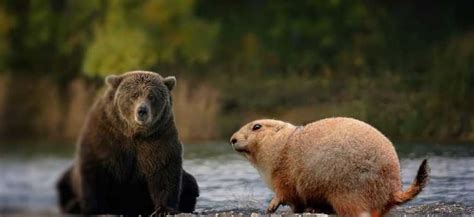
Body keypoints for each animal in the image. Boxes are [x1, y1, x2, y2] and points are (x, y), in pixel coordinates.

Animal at [56, 70, 199, 214]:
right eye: (134, 95)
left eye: (152, 96)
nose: (142, 111)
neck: (133, 133)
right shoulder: (105, 134)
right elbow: (94, 169)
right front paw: (96, 208)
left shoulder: (159, 136)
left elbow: (164, 170)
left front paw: (164, 209)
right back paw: (73, 205)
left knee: (191, 183)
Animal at [230, 118, 430, 217]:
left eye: (257, 126)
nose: (232, 139)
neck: (283, 143)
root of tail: (393, 190)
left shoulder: (282, 172)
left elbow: (285, 192)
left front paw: (271, 206)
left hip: (347, 190)